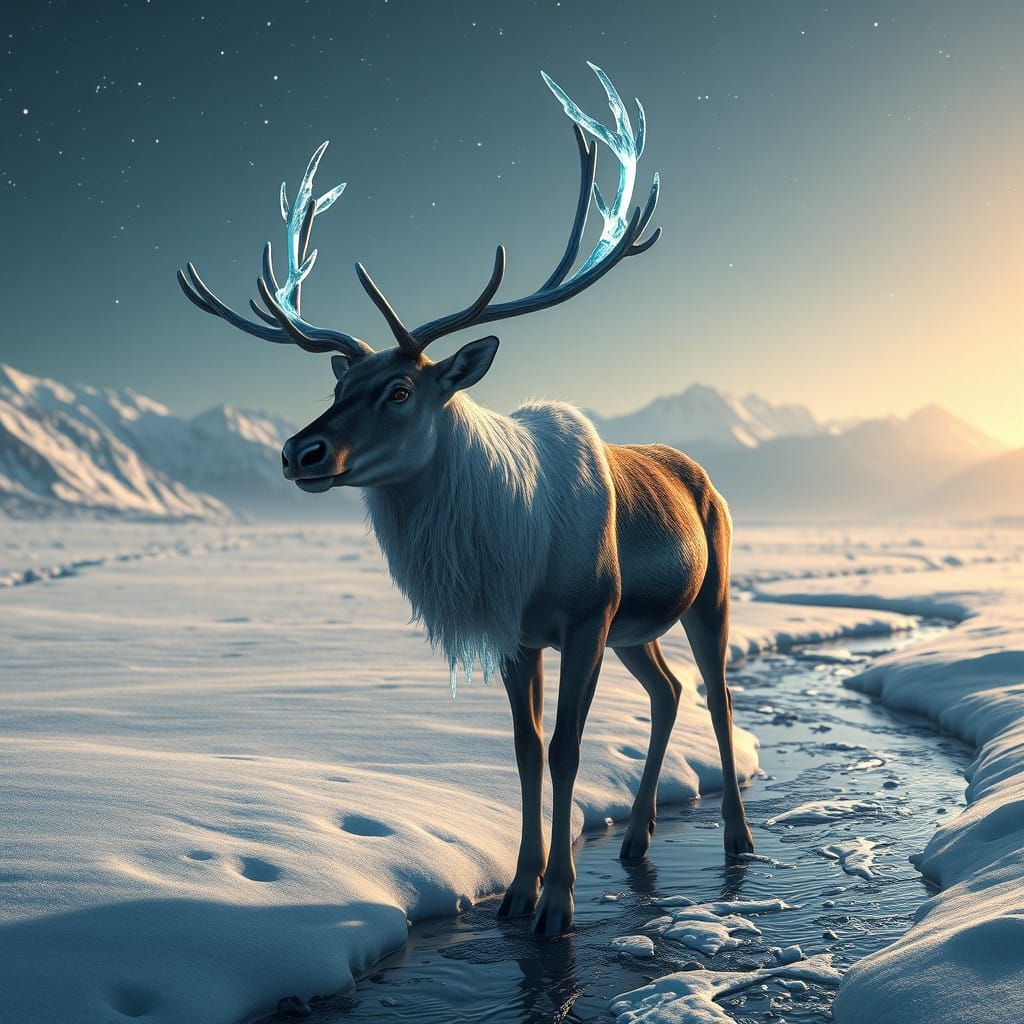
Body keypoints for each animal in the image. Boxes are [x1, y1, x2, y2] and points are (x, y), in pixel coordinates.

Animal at [178, 63, 754, 937]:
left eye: (401, 389)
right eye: (339, 385)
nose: (298, 451)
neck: (507, 545)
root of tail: (703, 476)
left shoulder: (585, 614)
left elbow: (566, 748)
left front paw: (558, 904)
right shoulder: (518, 630)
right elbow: (524, 747)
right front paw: (518, 892)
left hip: (703, 592)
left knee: (716, 693)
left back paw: (739, 839)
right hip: (635, 626)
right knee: (668, 690)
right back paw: (636, 836)